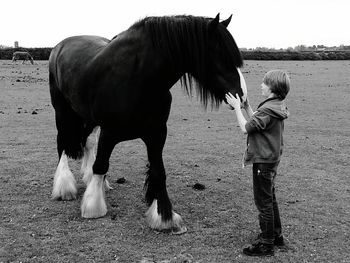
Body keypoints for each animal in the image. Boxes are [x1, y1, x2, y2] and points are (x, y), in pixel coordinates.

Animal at [48, 13, 246, 234]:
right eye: (220, 55)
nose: (241, 96)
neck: (138, 78)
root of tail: (60, 47)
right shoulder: (109, 132)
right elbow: (101, 164)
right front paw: (93, 206)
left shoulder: (157, 134)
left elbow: (159, 172)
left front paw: (164, 216)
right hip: (62, 112)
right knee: (63, 144)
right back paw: (64, 187)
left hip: (88, 118)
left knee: (86, 141)